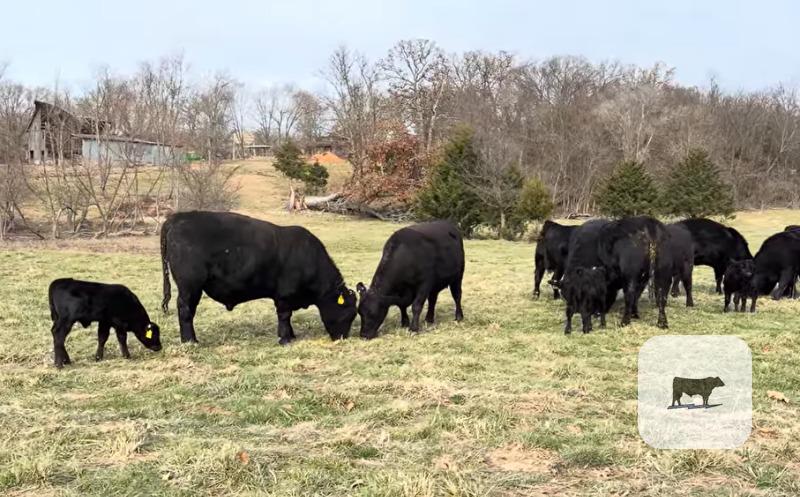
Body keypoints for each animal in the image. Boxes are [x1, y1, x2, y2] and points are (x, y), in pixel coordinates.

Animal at [160, 211, 357, 345]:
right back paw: (190, 341)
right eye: (349, 313)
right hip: (190, 287)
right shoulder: (284, 296)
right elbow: (284, 316)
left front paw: (292, 335)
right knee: (185, 310)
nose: (342, 338)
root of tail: (177, 217)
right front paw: (285, 338)